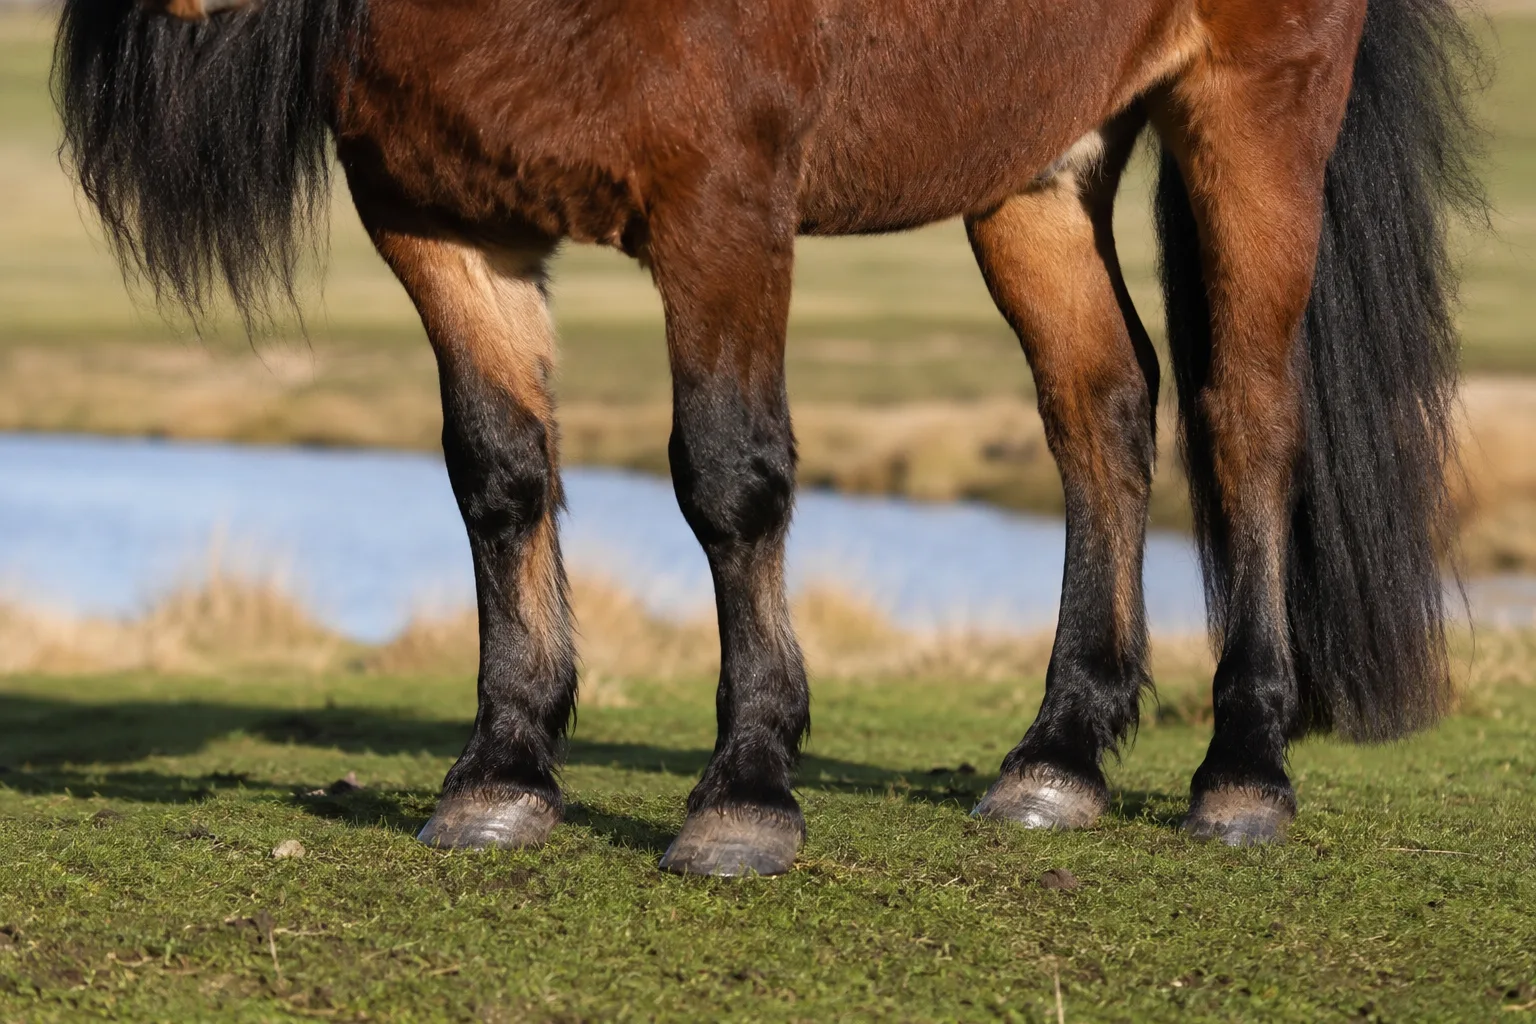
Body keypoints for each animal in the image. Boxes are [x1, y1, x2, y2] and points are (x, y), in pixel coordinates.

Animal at [54, 0, 1481, 876]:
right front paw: (502, 771)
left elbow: (730, 480)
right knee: (1102, 405)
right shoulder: (436, 219)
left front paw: (745, 792)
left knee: (1245, 418)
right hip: (1038, 165)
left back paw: (1243, 767)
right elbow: (500, 477)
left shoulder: (722, 206)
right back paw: (1058, 754)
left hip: (1252, 110)